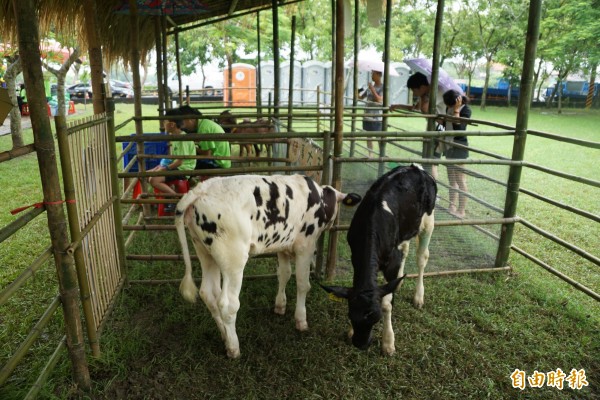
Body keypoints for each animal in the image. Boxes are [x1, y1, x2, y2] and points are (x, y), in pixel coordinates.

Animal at [175, 175, 360, 360]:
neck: (318, 196)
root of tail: (201, 189)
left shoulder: (283, 246)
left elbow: (284, 274)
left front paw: (280, 306)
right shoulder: (305, 246)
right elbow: (302, 284)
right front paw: (301, 320)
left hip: (205, 253)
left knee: (208, 294)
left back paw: (225, 337)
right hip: (233, 260)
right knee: (227, 304)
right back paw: (233, 348)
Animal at [324, 164, 436, 354]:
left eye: (375, 318)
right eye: (350, 315)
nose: (360, 344)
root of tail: (414, 167)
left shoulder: (391, 263)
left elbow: (386, 304)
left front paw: (388, 343)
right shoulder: (356, 257)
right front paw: (351, 331)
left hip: (428, 222)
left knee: (422, 258)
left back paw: (418, 297)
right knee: (405, 250)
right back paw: (401, 282)